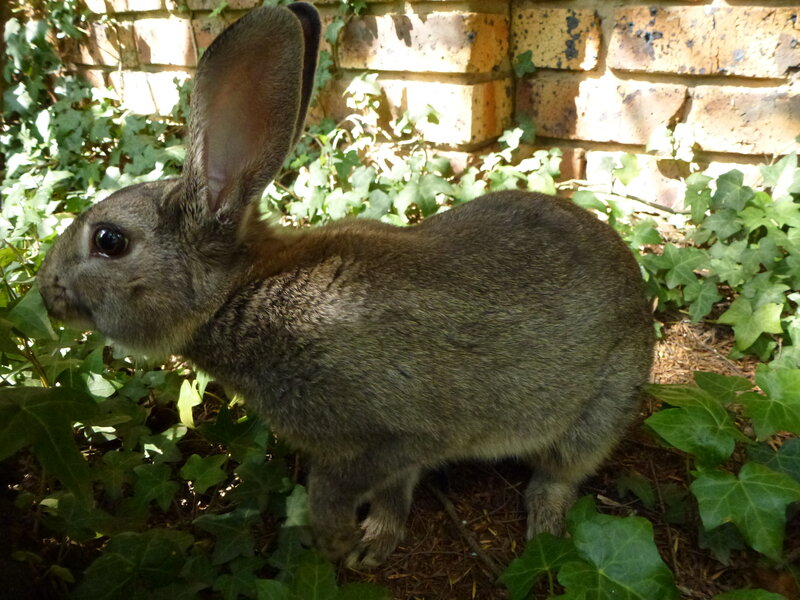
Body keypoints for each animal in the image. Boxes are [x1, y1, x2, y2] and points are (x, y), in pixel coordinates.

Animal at [38, 2, 654, 568]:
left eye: (109, 241)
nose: (47, 291)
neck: (239, 296)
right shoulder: (394, 455)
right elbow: (392, 493)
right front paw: (372, 543)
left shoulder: (399, 433)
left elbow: (336, 487)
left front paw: (335, 541)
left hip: (597, 411)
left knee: (563, 471)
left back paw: (545, 527)